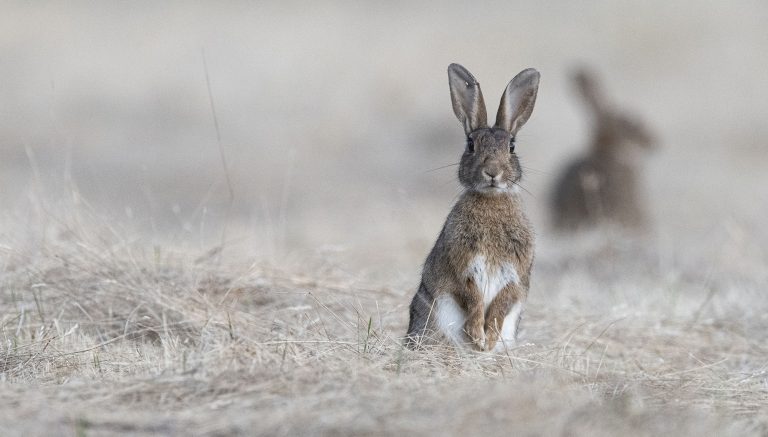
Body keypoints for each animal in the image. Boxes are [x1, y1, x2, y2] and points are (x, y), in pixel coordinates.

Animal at [408, 63, 540, 350]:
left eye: (512, 146)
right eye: (470, 145)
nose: (492, 172)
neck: (492, 199)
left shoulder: (515, 274)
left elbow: (502, 301)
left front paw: (487, 340)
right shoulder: (462, 266)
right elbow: (471, 296)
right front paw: (477, 336)